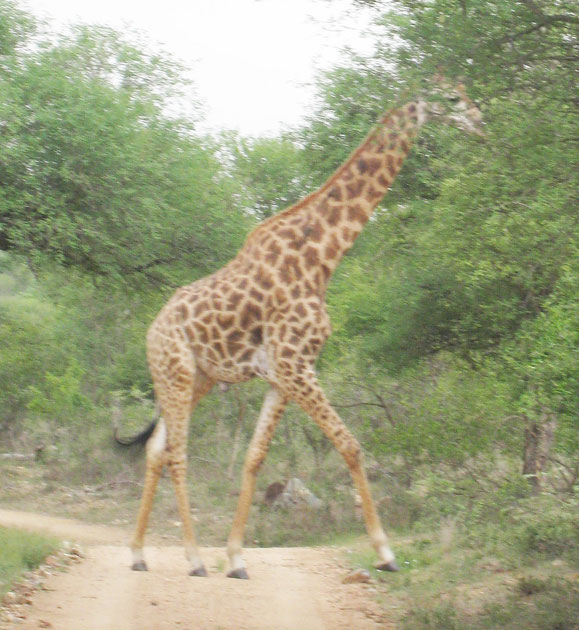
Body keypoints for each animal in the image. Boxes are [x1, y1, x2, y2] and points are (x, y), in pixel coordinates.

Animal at [122, 80, 484, 584]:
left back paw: (138, 553)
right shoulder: (296, 365)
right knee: (177, 452)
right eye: (452, 99)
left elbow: (255, 458)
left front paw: (237, 558)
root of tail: (151, 330)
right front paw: (385, 552)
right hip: (174, 372)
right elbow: (351, 445)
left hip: (198, 378)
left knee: (157, 449)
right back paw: (193, 559)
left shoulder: (282, 376)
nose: (481, 123)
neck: (323, 258)